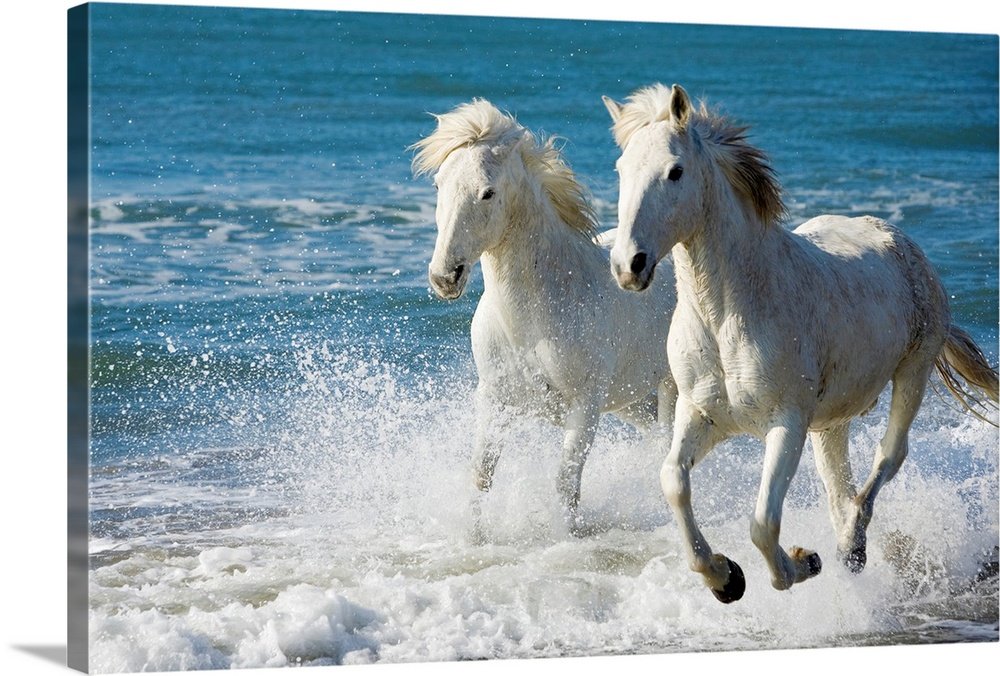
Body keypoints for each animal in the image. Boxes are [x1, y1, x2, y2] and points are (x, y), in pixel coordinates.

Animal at [411, 99, 678, 534]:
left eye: (487, 193)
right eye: (438, 185)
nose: (445, 276)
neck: (533, 320)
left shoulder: (585, 405)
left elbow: (566, 483)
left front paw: (566, 537)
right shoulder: (494, 399)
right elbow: (481, 475)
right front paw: (473, 538)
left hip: (671, 388)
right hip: (633, 401)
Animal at [601, 83, 998, 602]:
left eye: (675, 171)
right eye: (621, 170)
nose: (629, 265)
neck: (728, 316)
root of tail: (899, 239)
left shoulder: (785, 425)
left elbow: (763, 524)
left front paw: (799, 563)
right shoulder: (700, 413)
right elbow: (674, 481)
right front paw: (724, 577)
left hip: (912, 373)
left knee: (887, 458)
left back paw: (848, 544)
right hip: (831, 421)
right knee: (837, 484)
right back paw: (850, 548)